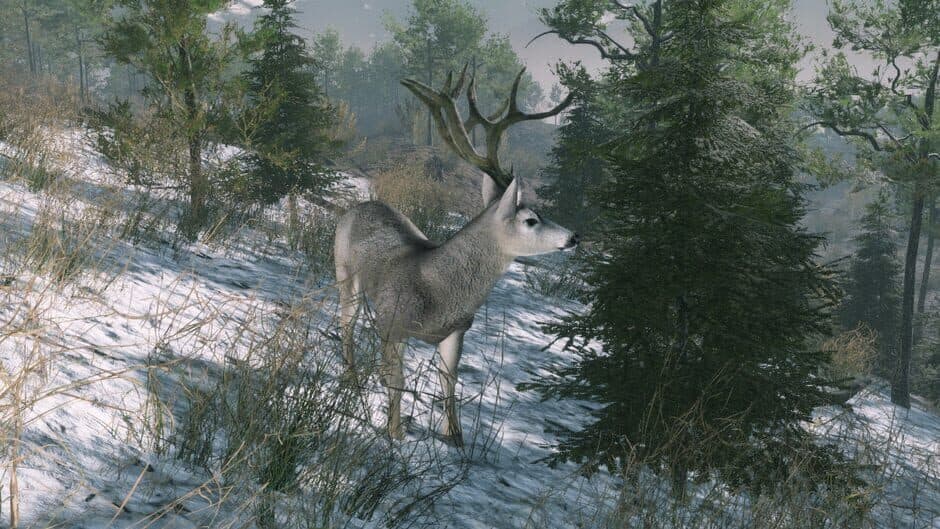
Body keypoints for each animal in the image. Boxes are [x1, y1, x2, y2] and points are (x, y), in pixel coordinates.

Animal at [334, 65, 578, 446]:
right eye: (531, 219)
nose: (573, 236)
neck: (439, 292)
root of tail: (360, 205)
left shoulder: (457, 332)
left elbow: (450, 382)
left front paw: (456, 438)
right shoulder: (392, 322)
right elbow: (398, 381)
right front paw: (395, 434)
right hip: (344, 273)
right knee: (346, 323)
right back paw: (352, 377)